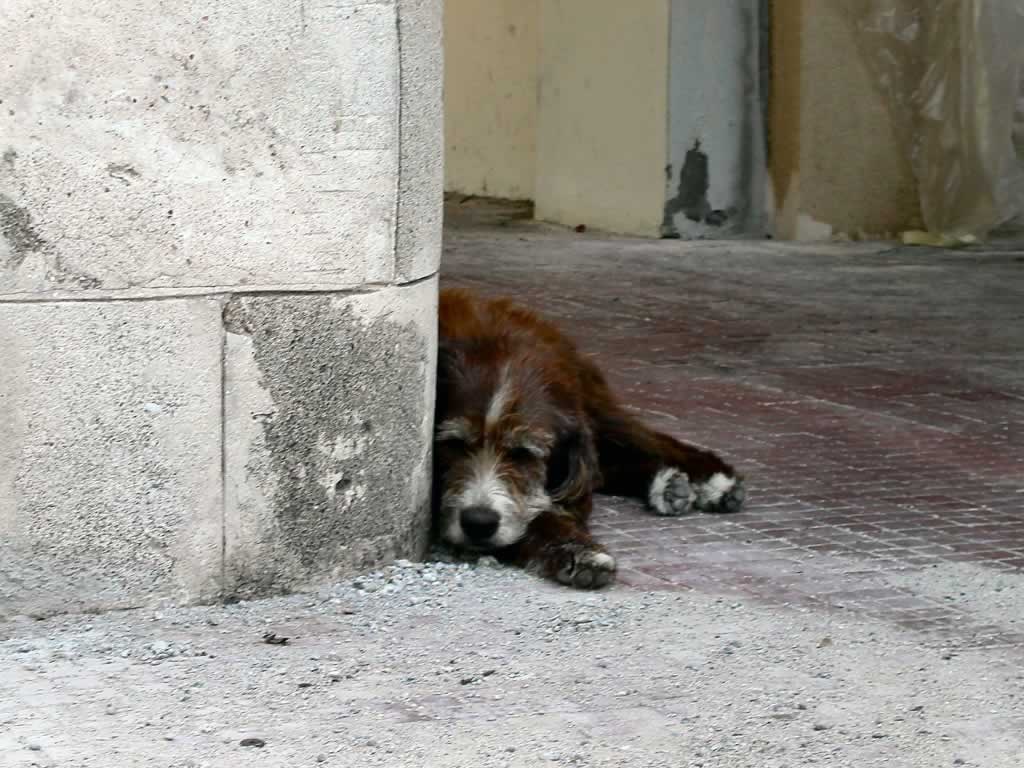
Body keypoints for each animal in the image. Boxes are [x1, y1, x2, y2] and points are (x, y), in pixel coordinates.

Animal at [432, 288, 745, 589]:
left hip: (594, 408)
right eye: (454, 445)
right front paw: (576, 550)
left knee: (644, 442)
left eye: (524, 454)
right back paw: (668, 485)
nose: (478, 522)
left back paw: (712, 479)